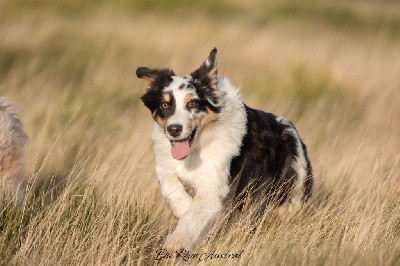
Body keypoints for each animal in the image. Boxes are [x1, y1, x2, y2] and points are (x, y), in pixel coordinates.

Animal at [136, 48, 314, 251]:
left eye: (192, 103)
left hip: (293, 192)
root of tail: (291, 130)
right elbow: (171, 189)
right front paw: (185, 209)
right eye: (165, 105)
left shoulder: (213, 184)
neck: (197, 148)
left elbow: (195, 214)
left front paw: (176, 243)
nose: (174, 129)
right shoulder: (165, 166)